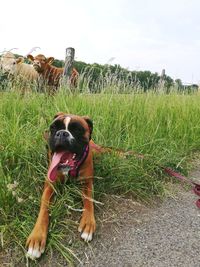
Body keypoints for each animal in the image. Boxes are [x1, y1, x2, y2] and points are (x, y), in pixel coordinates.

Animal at [26, 112, 103, 260]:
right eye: (54, 127)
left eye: (77, 129)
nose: (62, 133)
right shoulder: (50, 185)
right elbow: (44, 208)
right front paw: (37, 237)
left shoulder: (87, 182)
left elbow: (88, 201)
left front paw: (88, 222)